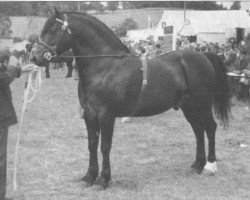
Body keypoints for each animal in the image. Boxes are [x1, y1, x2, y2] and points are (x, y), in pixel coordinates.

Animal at [30, 9, 231, 190]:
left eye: (53, 29)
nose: (34, 57)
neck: (105, 67)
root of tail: (203, 55)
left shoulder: (106, 115)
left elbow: (105, 146)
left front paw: (103, 180)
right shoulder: (90, 115)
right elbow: (92, 144)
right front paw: (89, 177)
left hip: (202, 104)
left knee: (210, 128)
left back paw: (210, 166)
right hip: (188, 107)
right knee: (198, 130)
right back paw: (197, 165)